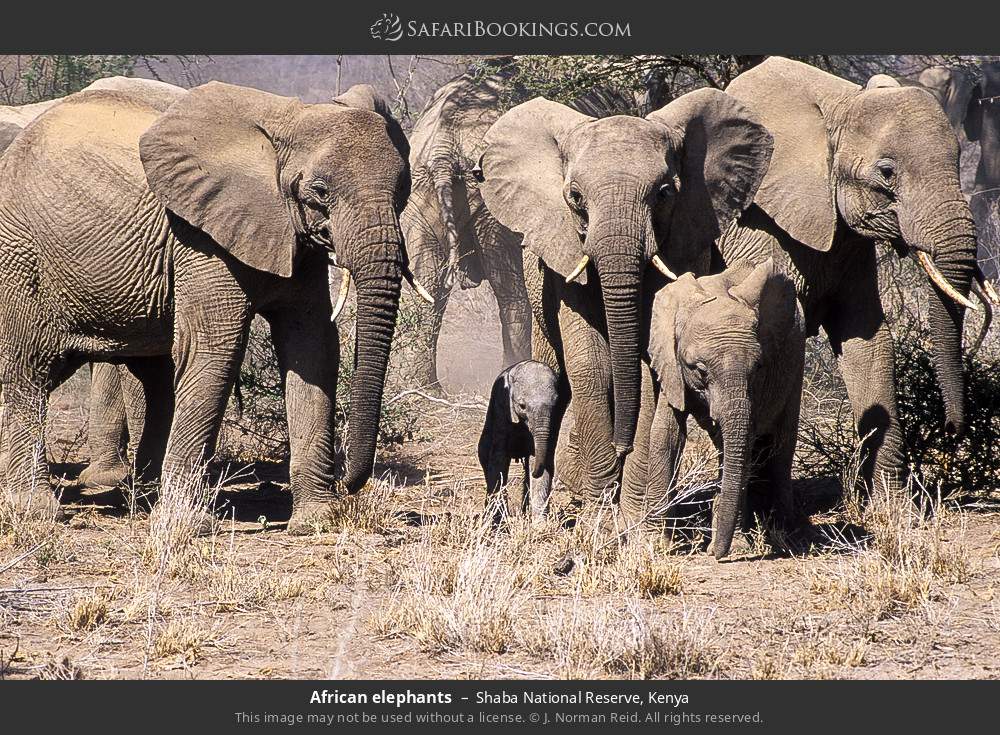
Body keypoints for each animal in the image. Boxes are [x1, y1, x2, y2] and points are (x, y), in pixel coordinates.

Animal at [0, 80, 422, 533]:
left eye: (403, 190)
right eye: (320, 192)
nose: (350, 481)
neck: (288, 120)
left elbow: (312, 346)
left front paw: (319, 519)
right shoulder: (200, 234)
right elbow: (215, 348)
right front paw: (189, 524)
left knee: (150, 375)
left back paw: (140, 498)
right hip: (20, 253)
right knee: (28, 369)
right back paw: (37, 510)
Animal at [477, 360, 559, 520]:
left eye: (555, 404)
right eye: (522, 406)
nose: (534, 472)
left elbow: (542, 460)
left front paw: (540, 523)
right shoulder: (501, 409)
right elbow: (499, 459)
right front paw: (497, 520)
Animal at [621, 57, 982, 524]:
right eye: (887, 173)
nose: (954, 428)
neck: (838, 105)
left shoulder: (847, 237)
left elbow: (866, 338)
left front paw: (893, 511)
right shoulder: (756, 224)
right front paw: (765, 517)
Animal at [643, 260, 804, 559]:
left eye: (758, 368)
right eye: (699, 370)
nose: (716, 554)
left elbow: (746, 441)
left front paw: (737, 548)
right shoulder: (670, 363)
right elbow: (665, 436)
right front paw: (654, 544)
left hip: (796, 363)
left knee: (781, 446)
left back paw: (786, 533)